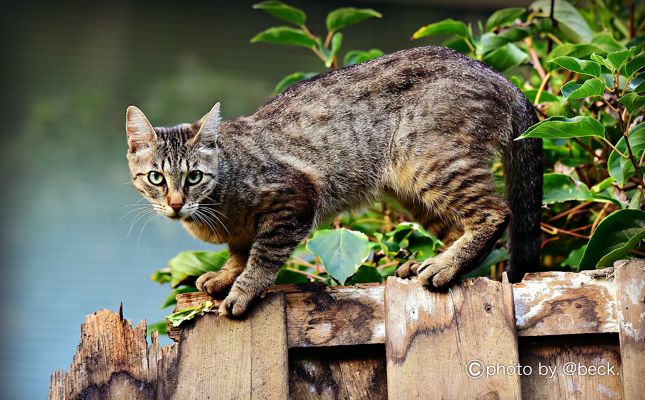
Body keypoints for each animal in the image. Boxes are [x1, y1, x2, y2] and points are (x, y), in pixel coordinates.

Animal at [126, 46, 540, 316]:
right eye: (156, 178)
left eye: (194, 177)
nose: (176, 203)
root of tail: (502, 78)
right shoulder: (242, 232)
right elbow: (239, 252)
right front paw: (226, 275)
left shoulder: (294, 199)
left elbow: (262, 256)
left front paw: (243, 289)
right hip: (411, 189)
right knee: (456, 227)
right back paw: (430, 262)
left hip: (431, 163)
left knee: (496, 213)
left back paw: (444, 266)